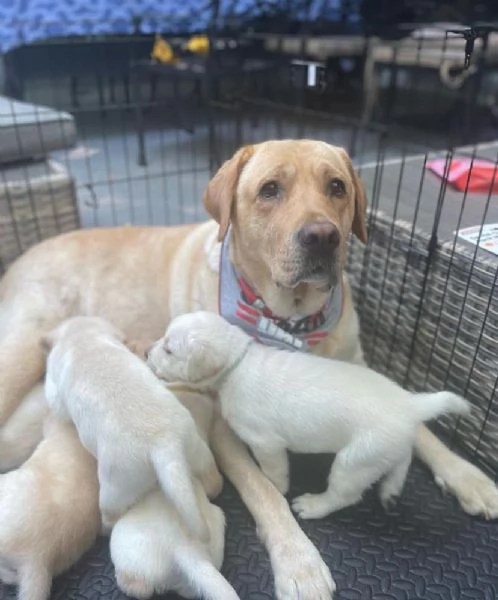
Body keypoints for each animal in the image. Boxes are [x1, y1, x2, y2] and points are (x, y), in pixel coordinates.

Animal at [42, 316, 222, 536]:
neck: (84, 338)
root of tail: (165, 445)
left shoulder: (55, 385)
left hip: (116, 485)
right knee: (212, 478)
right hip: (194, 447)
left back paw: (105, 529)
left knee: (111, 513)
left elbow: (53, 399)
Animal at [147, 312, 470, 516]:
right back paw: (390, 490)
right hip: (386, 447)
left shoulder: (266, 443)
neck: (238, 362)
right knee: (403, 459)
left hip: (354, 462)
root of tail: (411, 404)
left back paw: (313, 506)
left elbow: (275, 472)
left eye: (169, 349)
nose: (147, 353)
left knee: (345, 495)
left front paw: (277, 487)